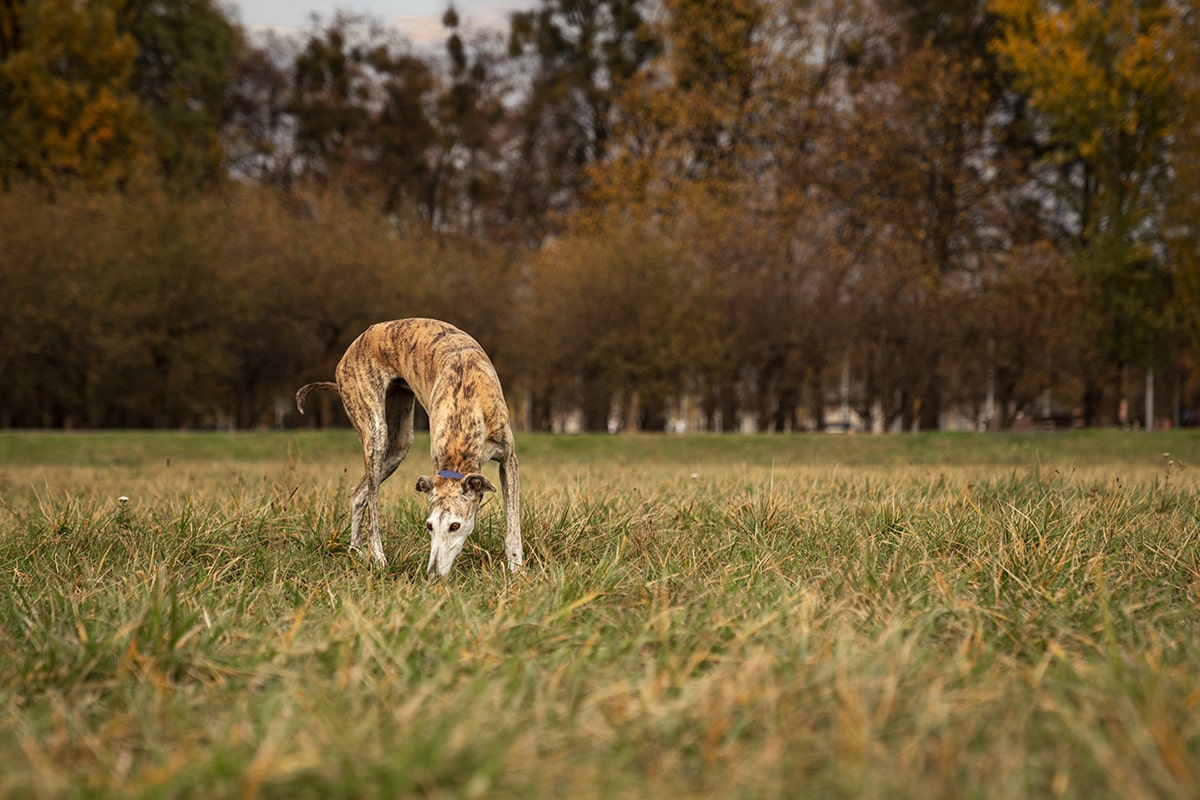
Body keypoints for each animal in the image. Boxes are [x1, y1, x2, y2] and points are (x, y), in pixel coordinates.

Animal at [295, 316, 520, 575]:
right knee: (372, 506)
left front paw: (517, 568)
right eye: (429, 526)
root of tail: (350, 350)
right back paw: (378, 558)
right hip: (376, 433)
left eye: (455, 526)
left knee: (358, 493)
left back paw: (355, 551)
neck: (466, 408)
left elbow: (513, 524)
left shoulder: (508, 460)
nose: (432, 574)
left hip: (398, 446)